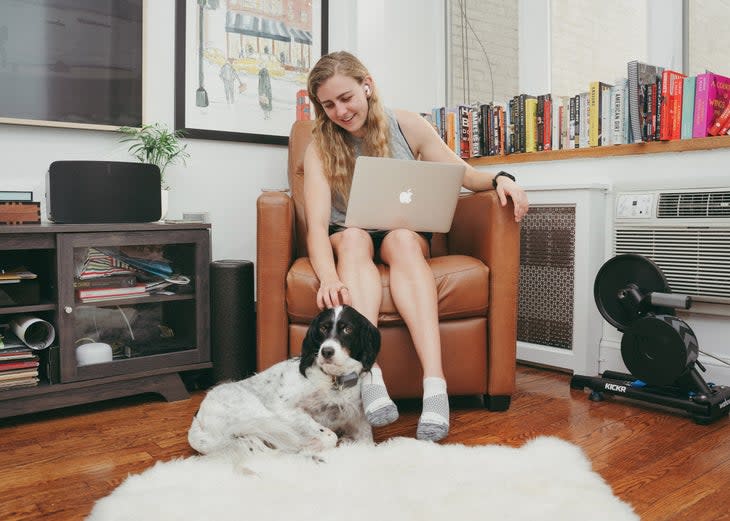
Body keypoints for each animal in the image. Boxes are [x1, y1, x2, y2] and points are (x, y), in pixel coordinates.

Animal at [188, 302, 378, 458]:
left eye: (348, 330)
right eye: (323, 328)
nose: (326, 351)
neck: (334, 380)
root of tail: (198, 416)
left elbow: (367, 443)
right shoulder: (283, 409)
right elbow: (329, 435)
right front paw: (310, 446)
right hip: (259, 417)